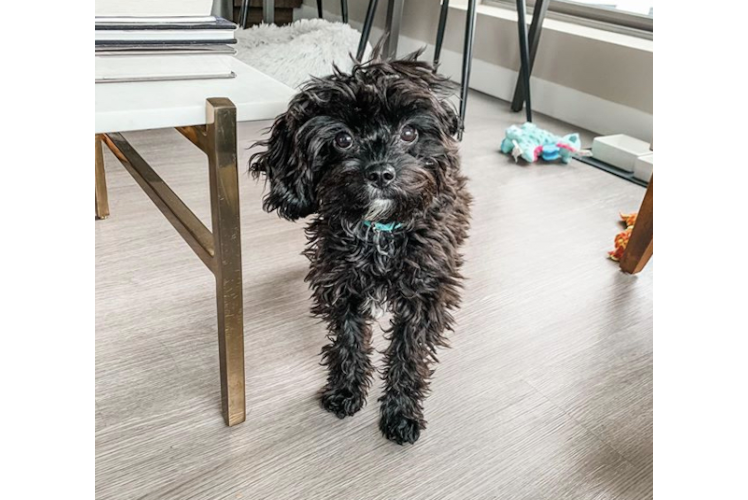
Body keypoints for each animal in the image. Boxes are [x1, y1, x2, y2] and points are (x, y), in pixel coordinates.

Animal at [251, 52, 474, 444]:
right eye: (342, 139)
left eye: (409, 132)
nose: (381, 173)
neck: (380, 231)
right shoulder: (342, 285)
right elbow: (349, 340)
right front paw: (346, 391)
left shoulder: (423, 296)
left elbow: (409, 354)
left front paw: (401, 414)